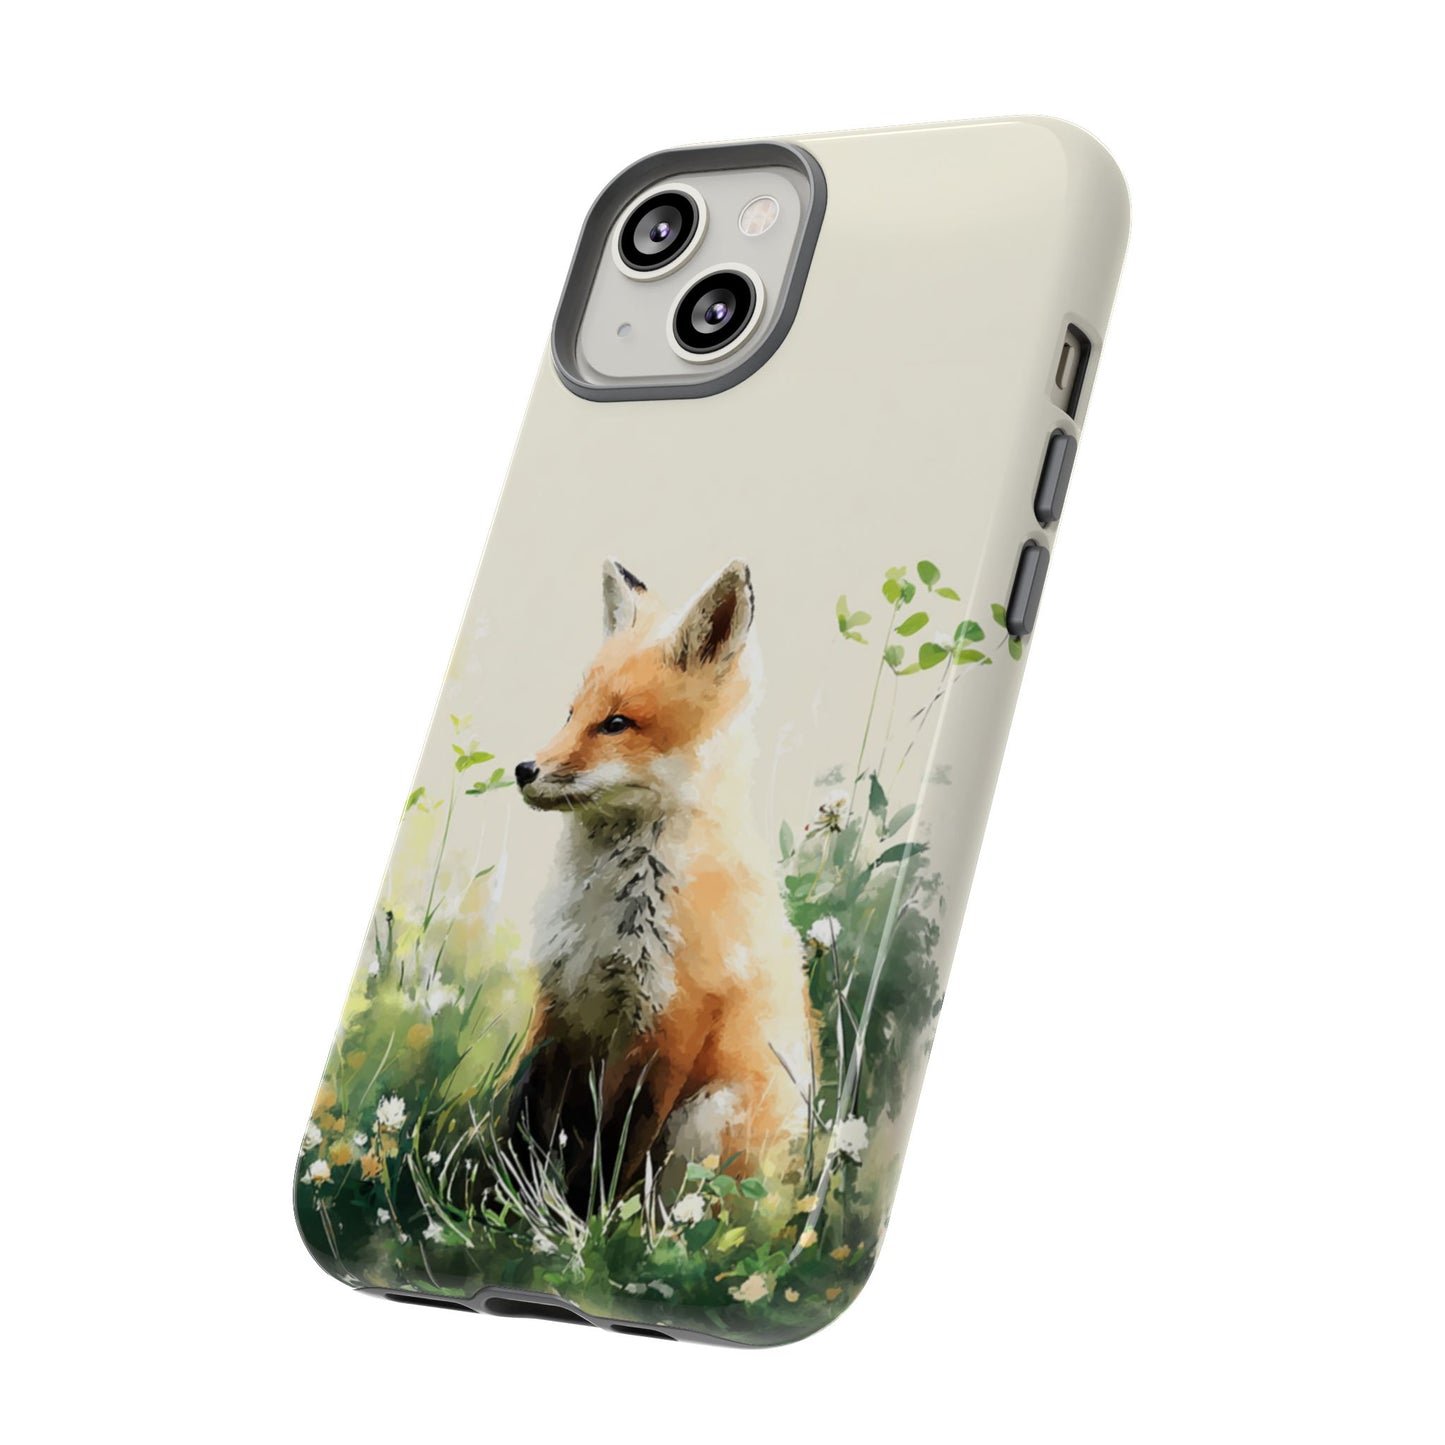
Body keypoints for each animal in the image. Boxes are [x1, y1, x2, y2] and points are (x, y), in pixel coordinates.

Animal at [510, 558, 818, 1211]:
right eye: (571, 714)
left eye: (616, 724)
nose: (524, 771)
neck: (601, 906)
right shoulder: (561, 1000)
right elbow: (524, 1115)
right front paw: (504, 1202)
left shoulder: (669, 1018)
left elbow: (617, 1144)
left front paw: (580, 1222)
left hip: (707, 1120)